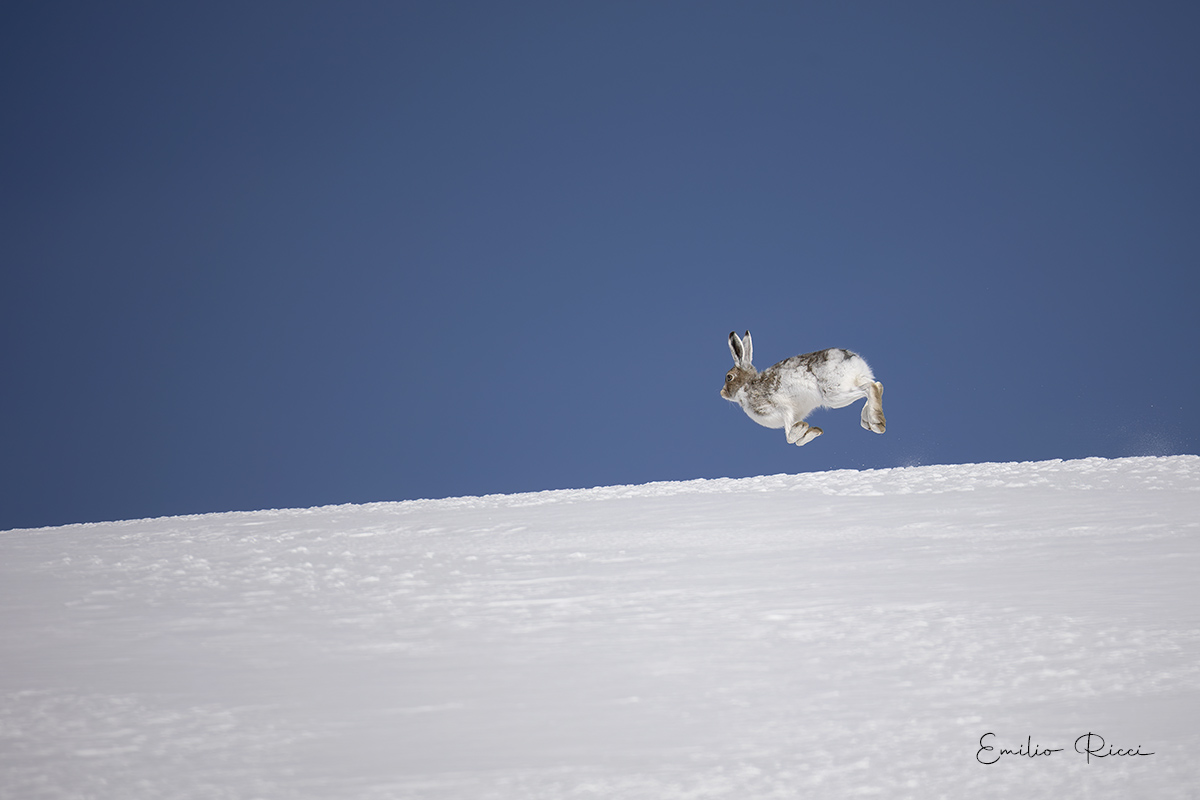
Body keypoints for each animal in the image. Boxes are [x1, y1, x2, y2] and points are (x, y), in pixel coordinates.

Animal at [720, 330, 886, 446]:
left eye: (729, 377)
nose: (722, 393)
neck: (745, 386)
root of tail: (854, 361)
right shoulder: (794, 414)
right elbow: (797, 439)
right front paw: (812, 432)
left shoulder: (781, 408)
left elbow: (789, 436)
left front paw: (802, 430)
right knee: (878, 385)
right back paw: (869, 421)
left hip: (834, 394)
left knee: (870, 387)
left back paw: (877, 422)